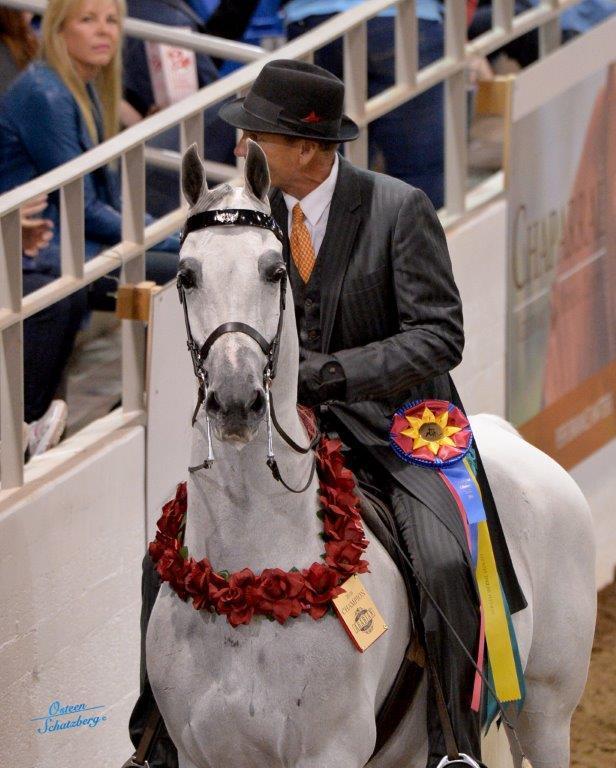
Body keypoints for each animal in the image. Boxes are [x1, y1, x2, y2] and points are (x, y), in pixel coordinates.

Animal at [145, 140, 596, 768]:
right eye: (186, 275)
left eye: (274, 270)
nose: (236, 400)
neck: (248, 585)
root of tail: (510, 438)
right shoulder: (198, 753)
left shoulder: (328, 752)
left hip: (548, 713)